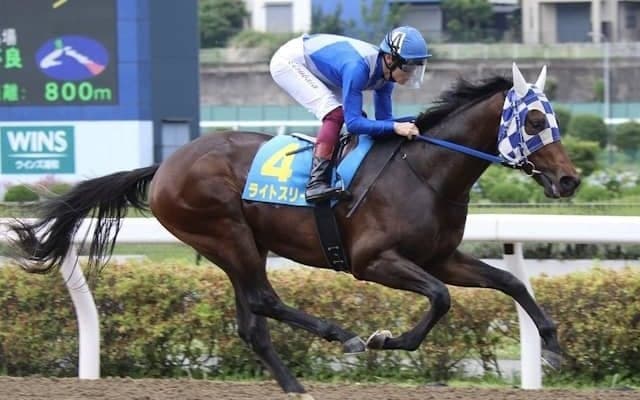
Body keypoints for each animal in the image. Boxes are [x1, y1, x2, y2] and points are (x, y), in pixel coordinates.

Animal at [6, 63, 580, 399]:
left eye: (553, 117)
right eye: (533, 121)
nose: (570, 179)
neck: (427, 172)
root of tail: (165, 164)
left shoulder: (440, 256)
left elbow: (509, 282)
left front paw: (552, 347)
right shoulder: (374, 261)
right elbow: (440, 298)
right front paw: (385, 338)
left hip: (237, 245)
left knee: (252, 322)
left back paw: (295, 386)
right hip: (226, 234)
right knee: (263, 300)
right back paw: (341, 336)